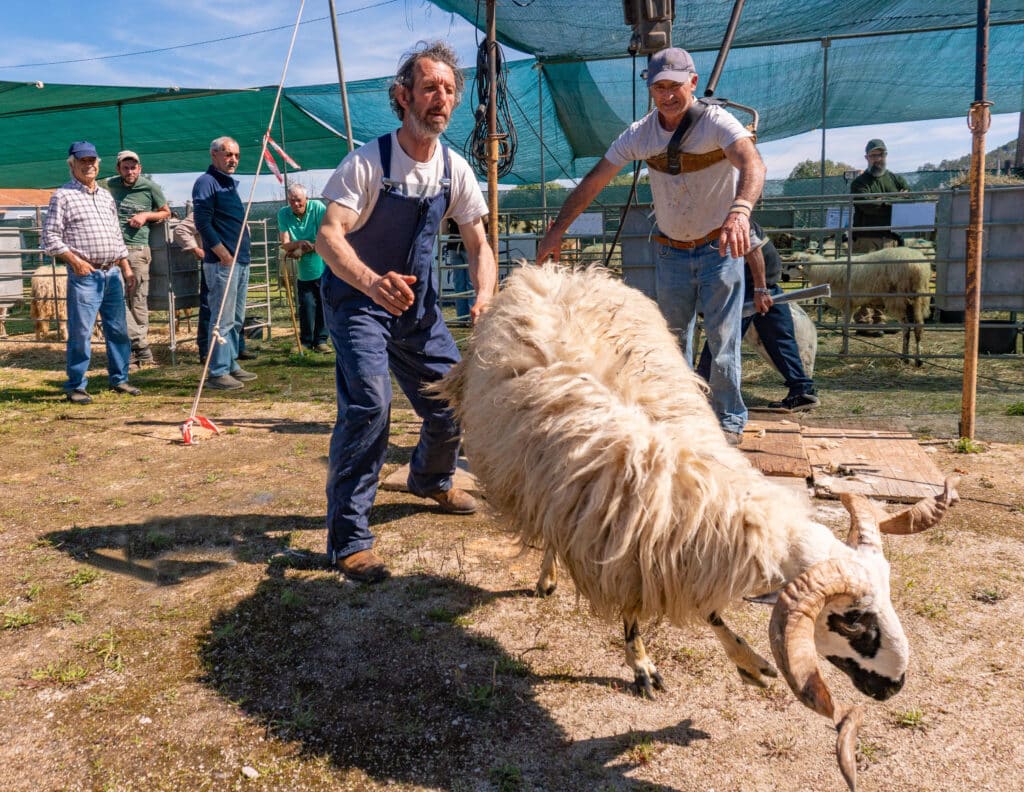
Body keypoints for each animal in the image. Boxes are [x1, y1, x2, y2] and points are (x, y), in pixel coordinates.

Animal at [436, 264, 957, 790]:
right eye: (849, 620)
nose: (896, 686)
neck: (694, 485)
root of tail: (550, 270)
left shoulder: (661, 547)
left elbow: (710, 612)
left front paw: (748, 665)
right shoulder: (626, 546)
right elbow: (639, 615)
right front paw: (645, 667)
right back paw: (547, 575)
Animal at [784, 247, 931, 365]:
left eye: (791, 265)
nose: (783, 277)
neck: (822, 271)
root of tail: (918, 266)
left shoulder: (847, 304)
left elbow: (845, 328)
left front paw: (843, 353)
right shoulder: (851, 304)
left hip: (898, 299)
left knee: (906, 327)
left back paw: (905, 357)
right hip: (919, 299)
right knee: (918, 327)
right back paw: (917, 360)